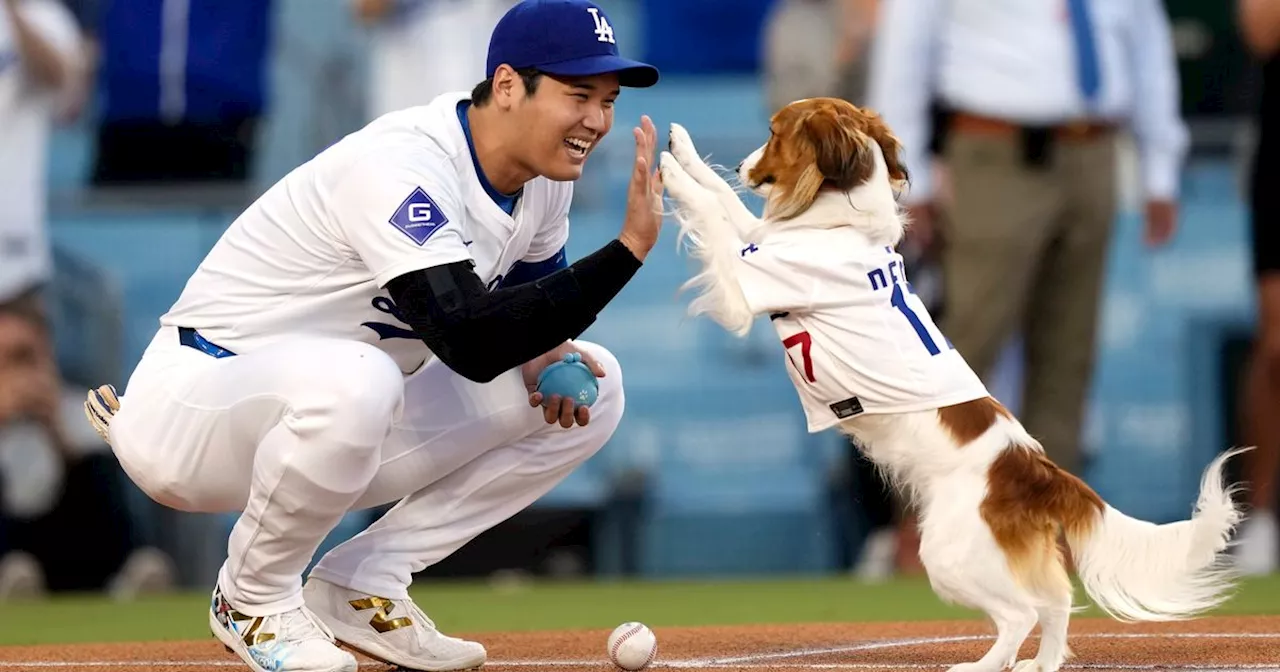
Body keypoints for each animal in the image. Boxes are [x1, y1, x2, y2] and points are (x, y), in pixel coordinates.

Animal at [660, 98, 1249, 670]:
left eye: (773, 132)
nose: (743, 165)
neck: (841, 226)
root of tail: (1037, 469)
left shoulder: (744, 290)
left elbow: (713, 214)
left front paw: (668, 172)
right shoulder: (760, 243)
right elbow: (727, 204)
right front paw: (683, 152)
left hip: (947, 555)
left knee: (1021, 614)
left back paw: (984, 665)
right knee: (1056, 603)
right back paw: (1041, 664)